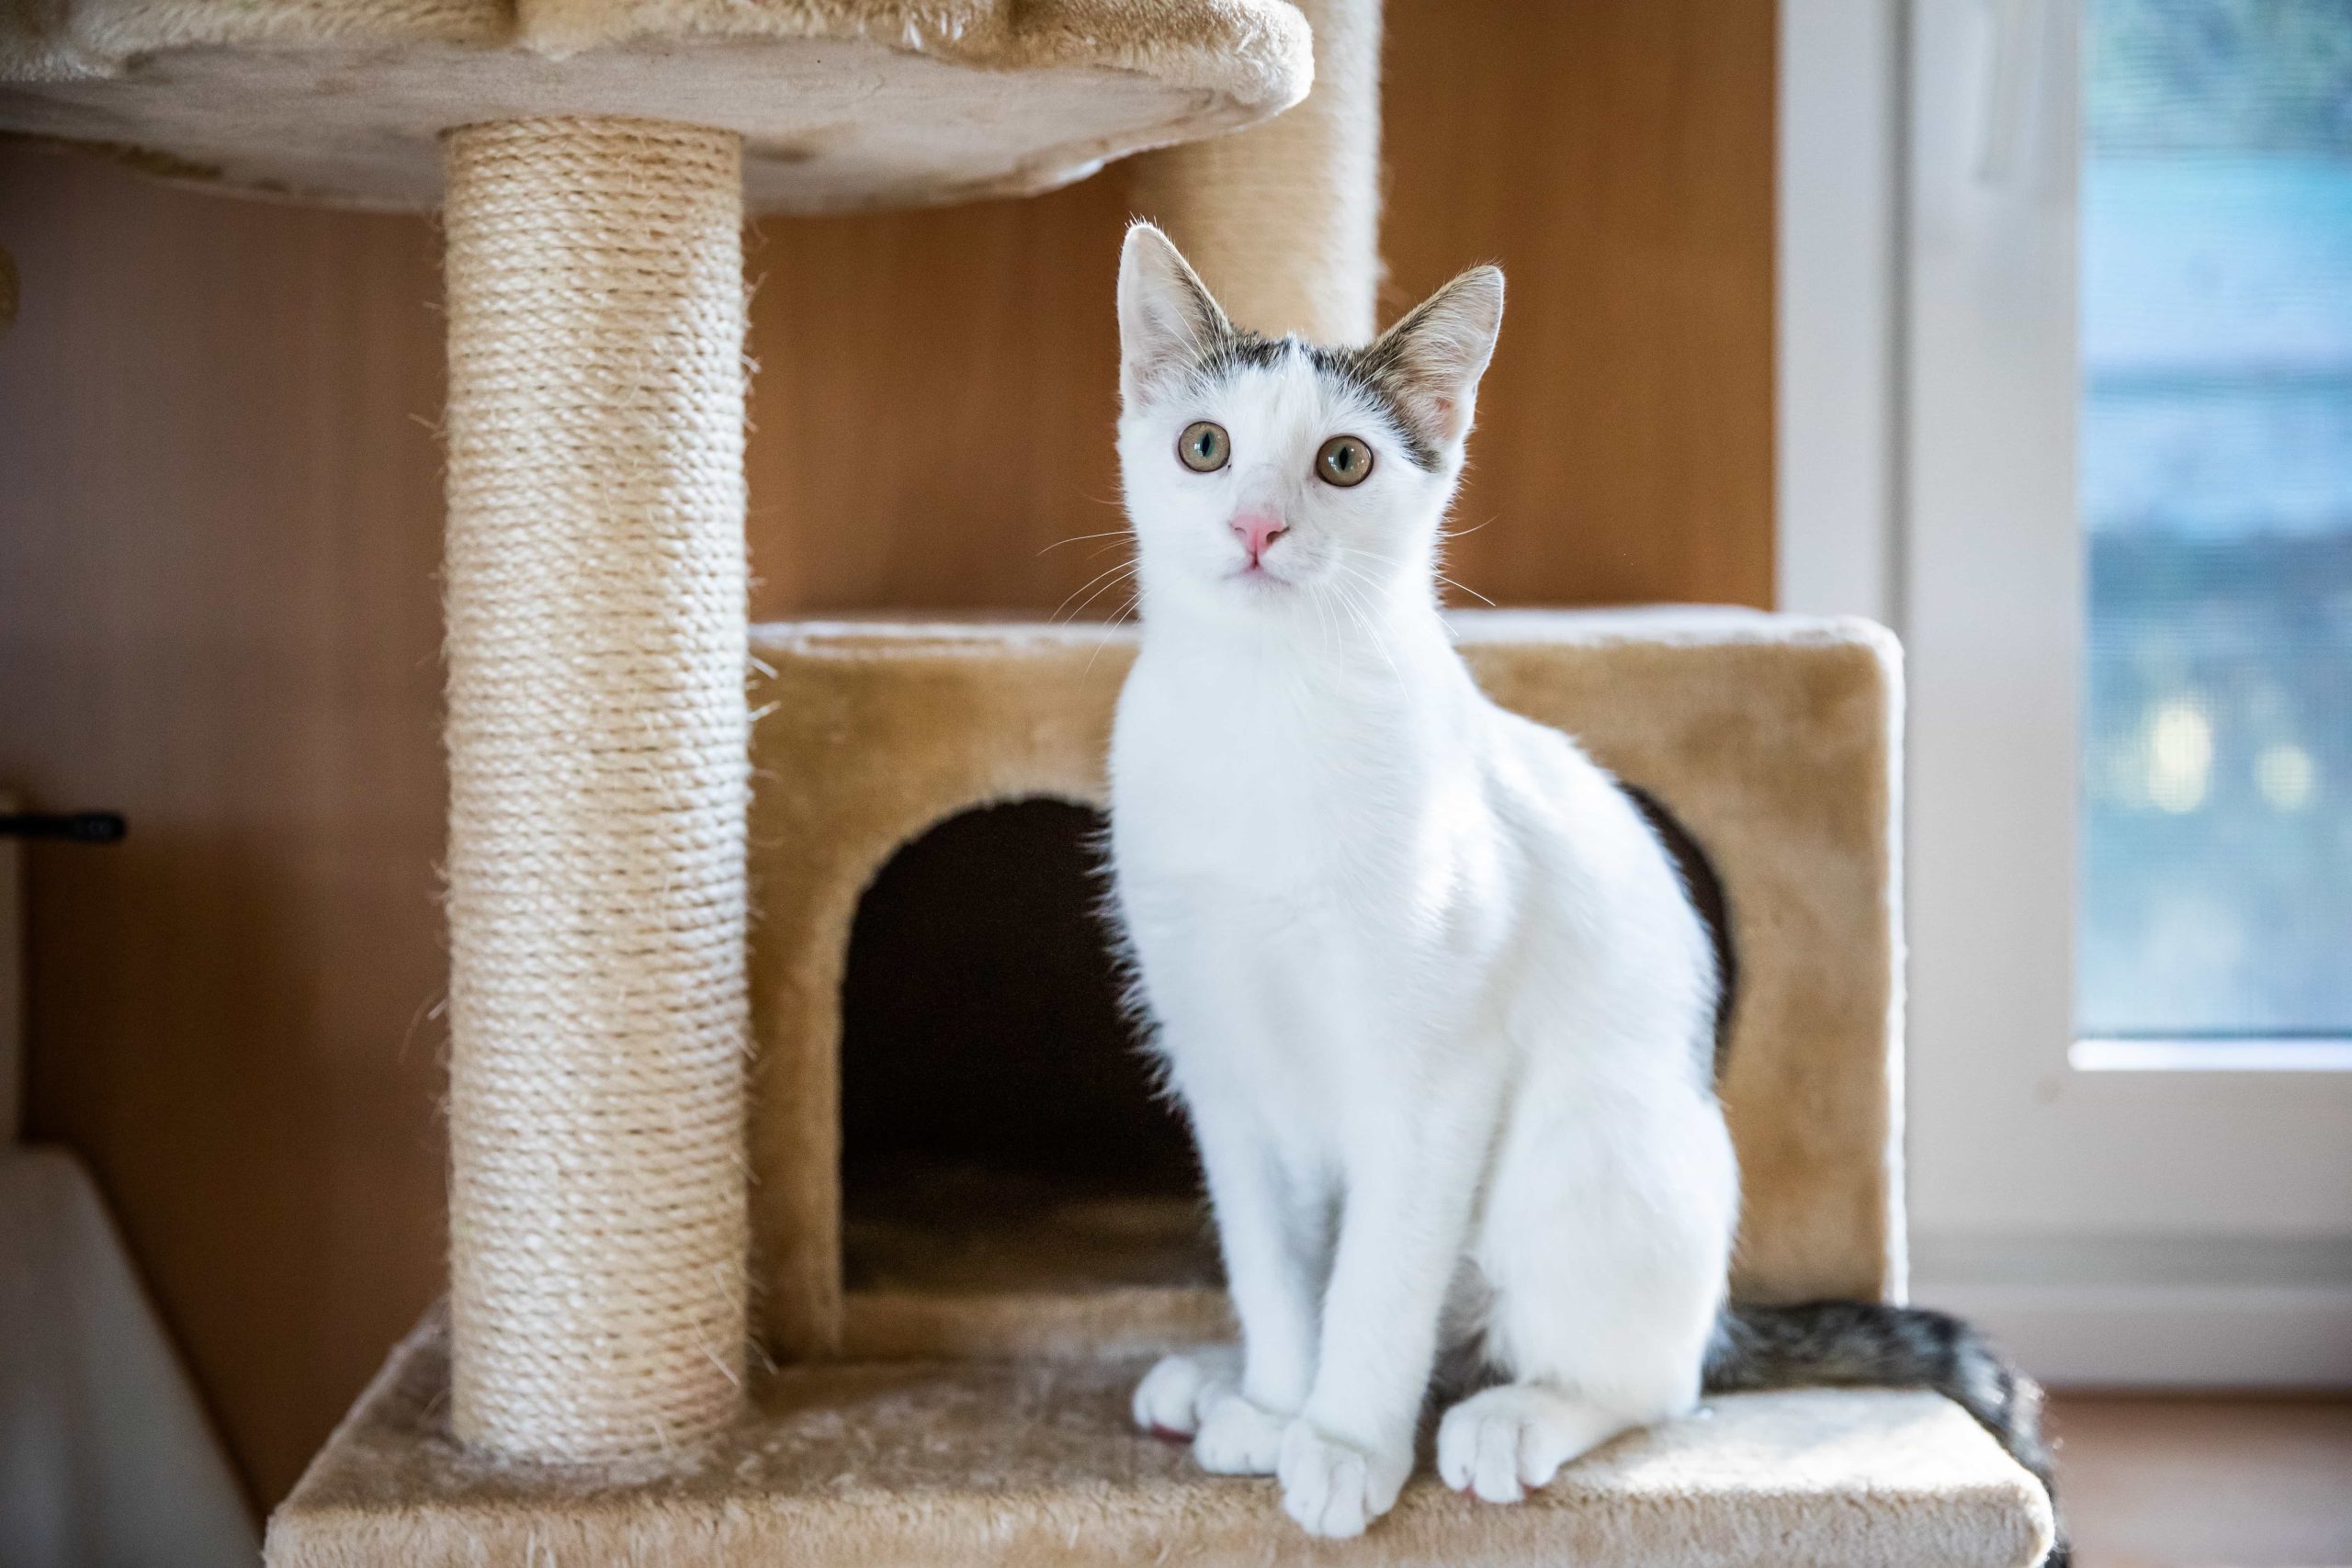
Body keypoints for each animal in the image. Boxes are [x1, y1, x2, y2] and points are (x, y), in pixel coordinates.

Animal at [1101, 223, 2060, 1561]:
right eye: (1205, 446)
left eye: (1342, 462)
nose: (1255, 526)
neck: (1267, 710)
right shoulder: (1223, 1058)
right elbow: (1276, 1260)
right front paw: (1282, 1400)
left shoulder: (1435, 1069)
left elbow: (1380, 1278)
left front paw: (1342, 1442)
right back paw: (1220, 1379)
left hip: (1588, 1152)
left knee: (1654, 1379)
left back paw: (1514, 1415)